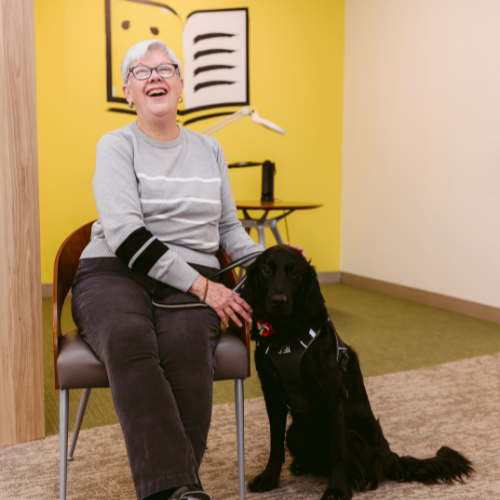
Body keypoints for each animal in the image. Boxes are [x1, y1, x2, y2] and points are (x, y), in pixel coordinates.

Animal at [241, 245, 472, 500]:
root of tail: (391, 457)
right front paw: (269, 477)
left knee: (363, 469)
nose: (278, 301)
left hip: (353, 433)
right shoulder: (272, 395)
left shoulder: (332, 400)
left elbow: (338, 452)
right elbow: (275, 444)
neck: (287, 336)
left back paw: (357, 480)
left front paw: (337, 489)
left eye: (294, 272)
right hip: (295, 431)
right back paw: (303, 465)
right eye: (266, 270)